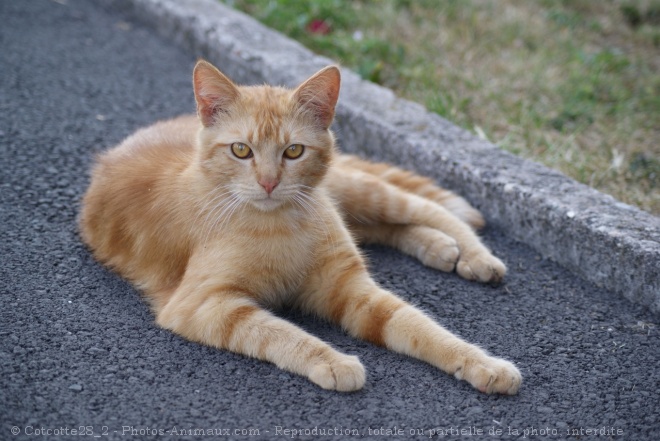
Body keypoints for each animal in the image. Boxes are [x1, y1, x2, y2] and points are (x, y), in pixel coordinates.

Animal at [78, 58, 520, 392]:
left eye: (293, 151)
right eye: (241, 150)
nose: (269, 182)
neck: (282, 227)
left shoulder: (353, 289)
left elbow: (422, 327)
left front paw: (482, 363)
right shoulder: (203, 304)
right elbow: (279, 332)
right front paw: (334, 361)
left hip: (355, 191)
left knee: (426, 208)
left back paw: (473, 254)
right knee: (390, 225)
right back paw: (440, 248)